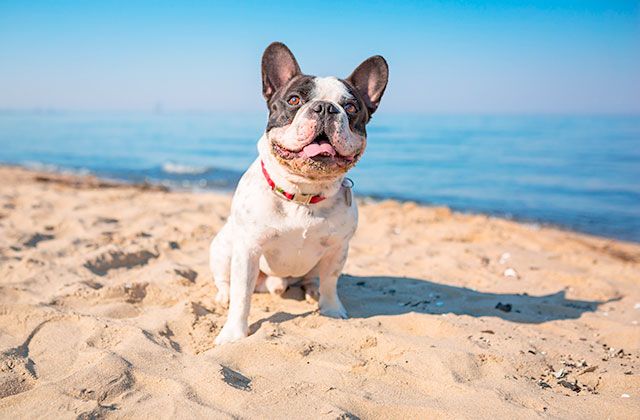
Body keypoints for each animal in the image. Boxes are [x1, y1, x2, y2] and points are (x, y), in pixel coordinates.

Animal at [212, 41, 388, 344]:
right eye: (294, 101)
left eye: (351, 107)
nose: (325, 108)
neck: (303, 193)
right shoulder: (247, 249)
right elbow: (241, 296)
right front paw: (234, 333)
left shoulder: (338, 249)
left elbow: (331, 281)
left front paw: (331, 309)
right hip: (223, 248)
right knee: (226, 281)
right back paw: (223, 296)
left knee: (314, 278)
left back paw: (311, 290)